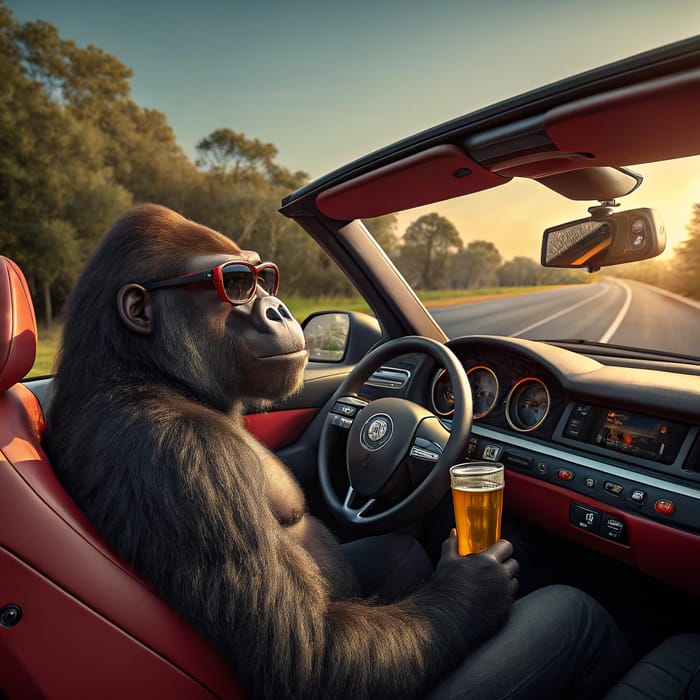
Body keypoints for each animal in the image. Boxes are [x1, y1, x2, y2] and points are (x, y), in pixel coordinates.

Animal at [42, 205, 516, 696]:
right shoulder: (189, 457)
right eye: (236, 283)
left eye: (264, 277)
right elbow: (308, 655)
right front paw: (474, 580)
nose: (278, 308)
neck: (149, 374)